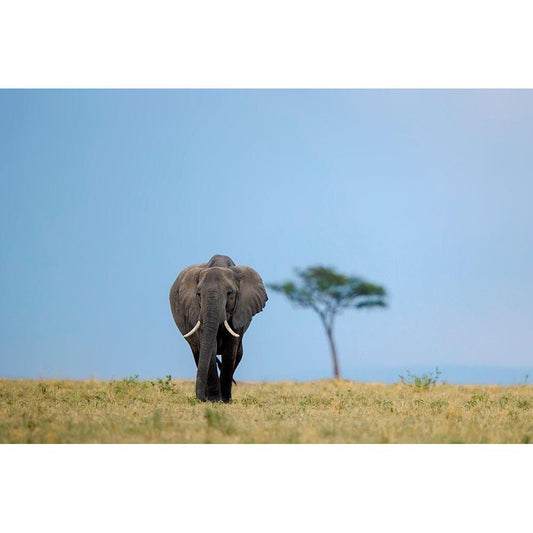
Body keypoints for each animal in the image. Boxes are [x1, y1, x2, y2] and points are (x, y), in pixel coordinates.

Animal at [169, 254, 268, 402]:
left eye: (230, 293)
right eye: (198, 294)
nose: (201, 398)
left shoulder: (239, 311)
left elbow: (230, 349)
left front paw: (225, 400)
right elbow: (211, 347)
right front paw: (214, 400)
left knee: (238, 354)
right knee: (197, 353)